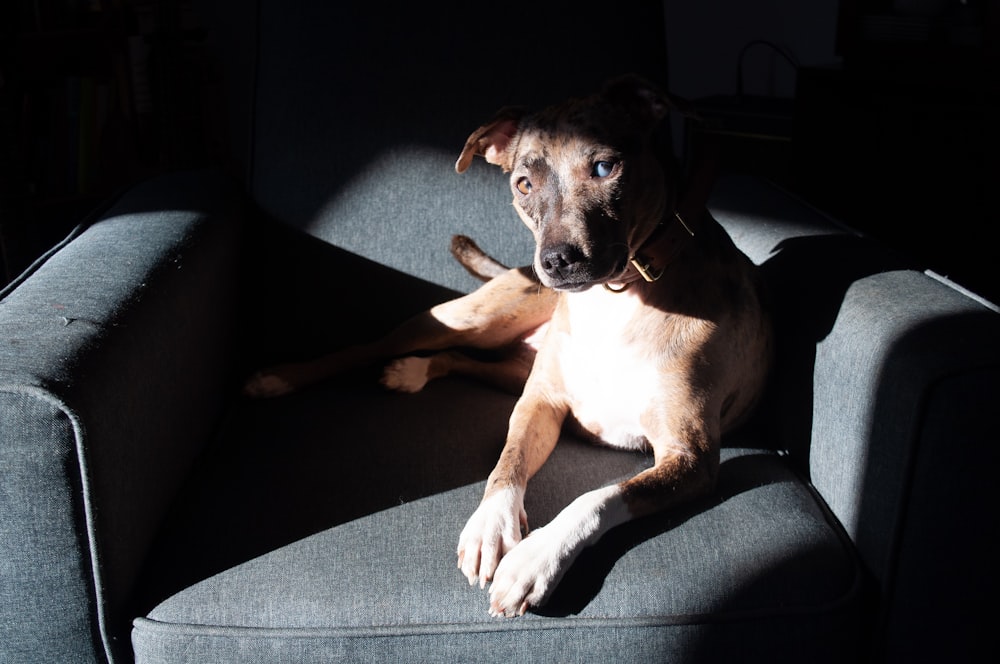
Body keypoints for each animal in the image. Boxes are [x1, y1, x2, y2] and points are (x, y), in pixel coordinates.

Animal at [244, 76, 772, 616]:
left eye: (605, 168)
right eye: (523, 185)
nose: (555, 262)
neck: (616, 297)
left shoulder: (692, 458)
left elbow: (598, 496)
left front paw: (535, 557)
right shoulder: (540, 403)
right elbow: (508, 462)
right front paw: (490, 527)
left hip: (508, 365)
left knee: (458, 360)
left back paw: (411, 371)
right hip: (471, 321)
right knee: (370, 347)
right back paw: (278, 378)